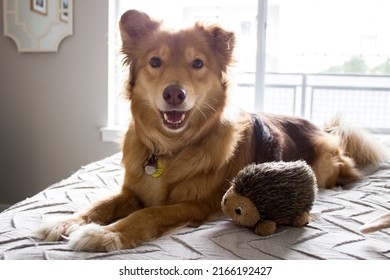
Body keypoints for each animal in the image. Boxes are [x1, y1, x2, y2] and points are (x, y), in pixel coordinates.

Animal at [35, 10, 388, 252]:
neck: (170, 150)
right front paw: (63, 222)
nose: (174, 94)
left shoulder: (195, 205)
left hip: (326, 167)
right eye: (155, 61)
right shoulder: (131, 192)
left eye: (197, 64)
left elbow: (148, 215)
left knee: (346, 172)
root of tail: (322, 127)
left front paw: (105, 233)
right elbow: (99, 205)